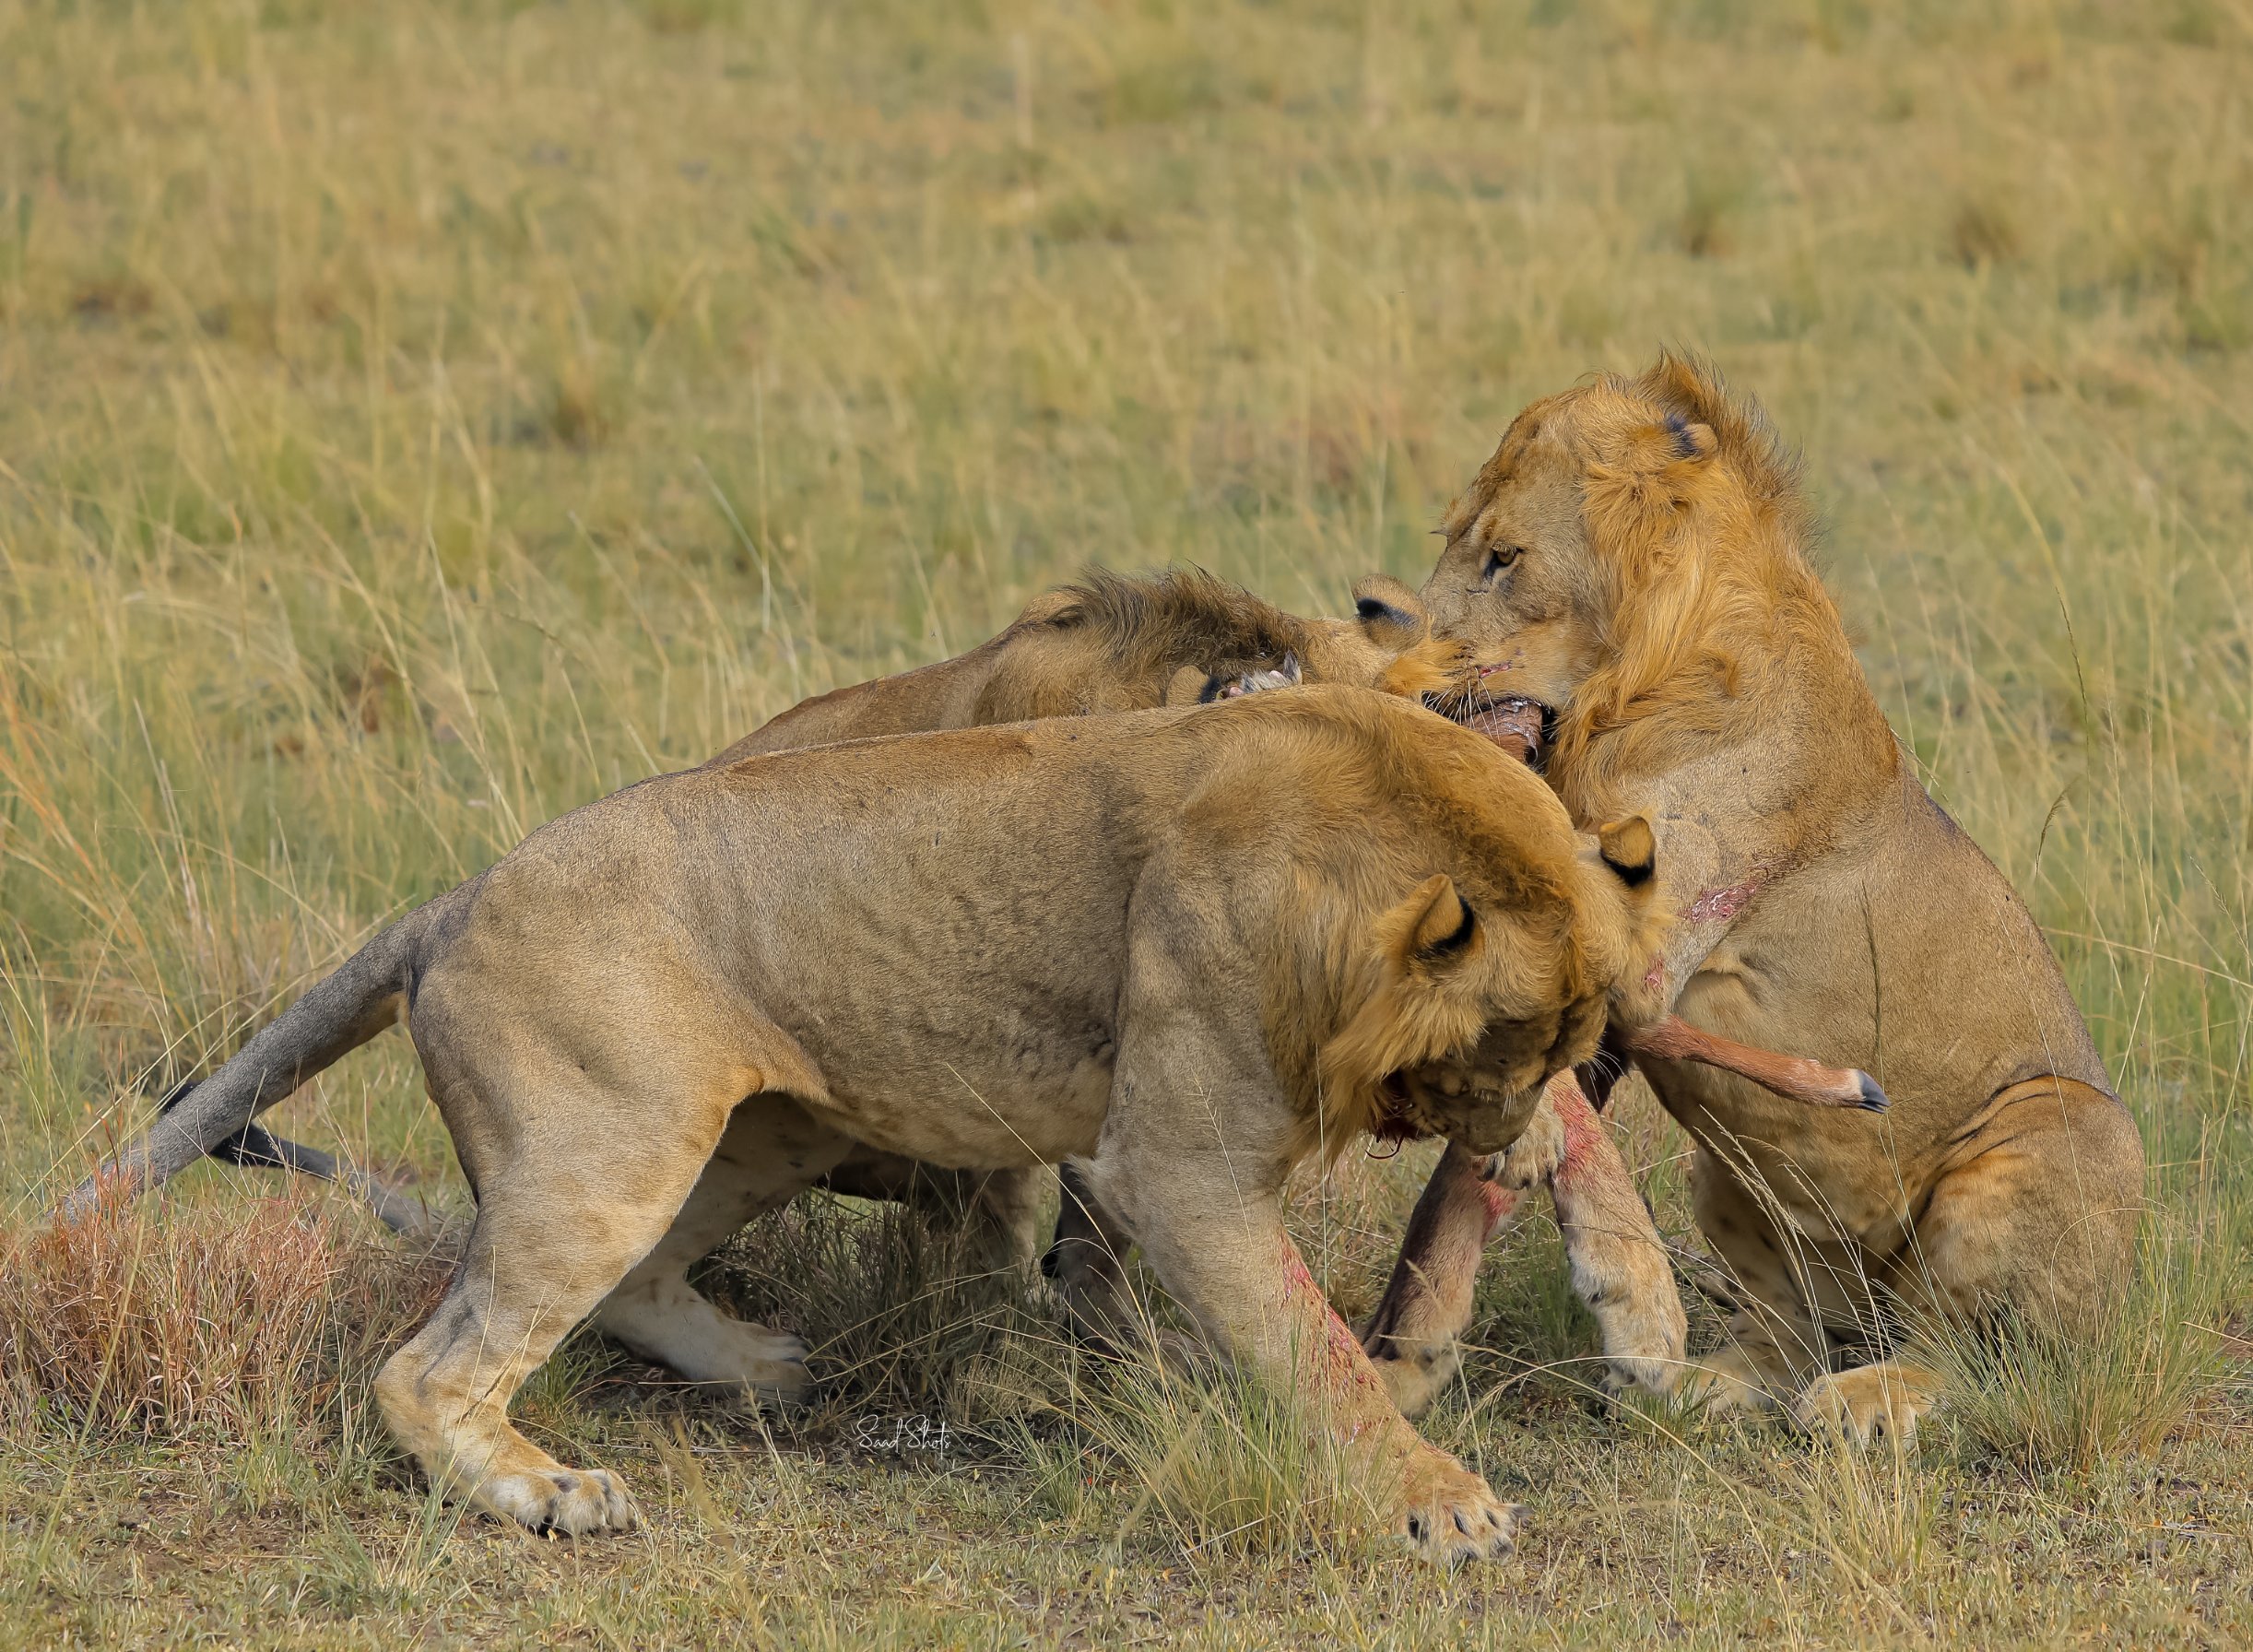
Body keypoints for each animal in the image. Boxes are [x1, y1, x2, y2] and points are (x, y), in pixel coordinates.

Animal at [70, 685, 1676, 1559]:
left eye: (1568, 1043)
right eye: (1500, 1044)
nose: (1502, 1129)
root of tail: (452, 896)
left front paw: (1591, 1226)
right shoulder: (1170, 1166)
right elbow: (1314, 1349)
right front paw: (1440, 1503)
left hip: (758, 1125)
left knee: (637, 1281)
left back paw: (763, 1366)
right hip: (615, 1140)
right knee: (429, 1369)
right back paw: (548, 1493)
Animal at [1351, 353, 2144, 1433]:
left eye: (1504, 558)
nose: (1390, 668)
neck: (1623, 696)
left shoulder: (1643, 944)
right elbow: (1468, 1186)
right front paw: (1408, 1361)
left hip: (2061, 1128)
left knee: (1971, 1354)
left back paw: (1866, 1401)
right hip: (1729, 1179)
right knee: (1789, 1329)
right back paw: (1705, 1385)